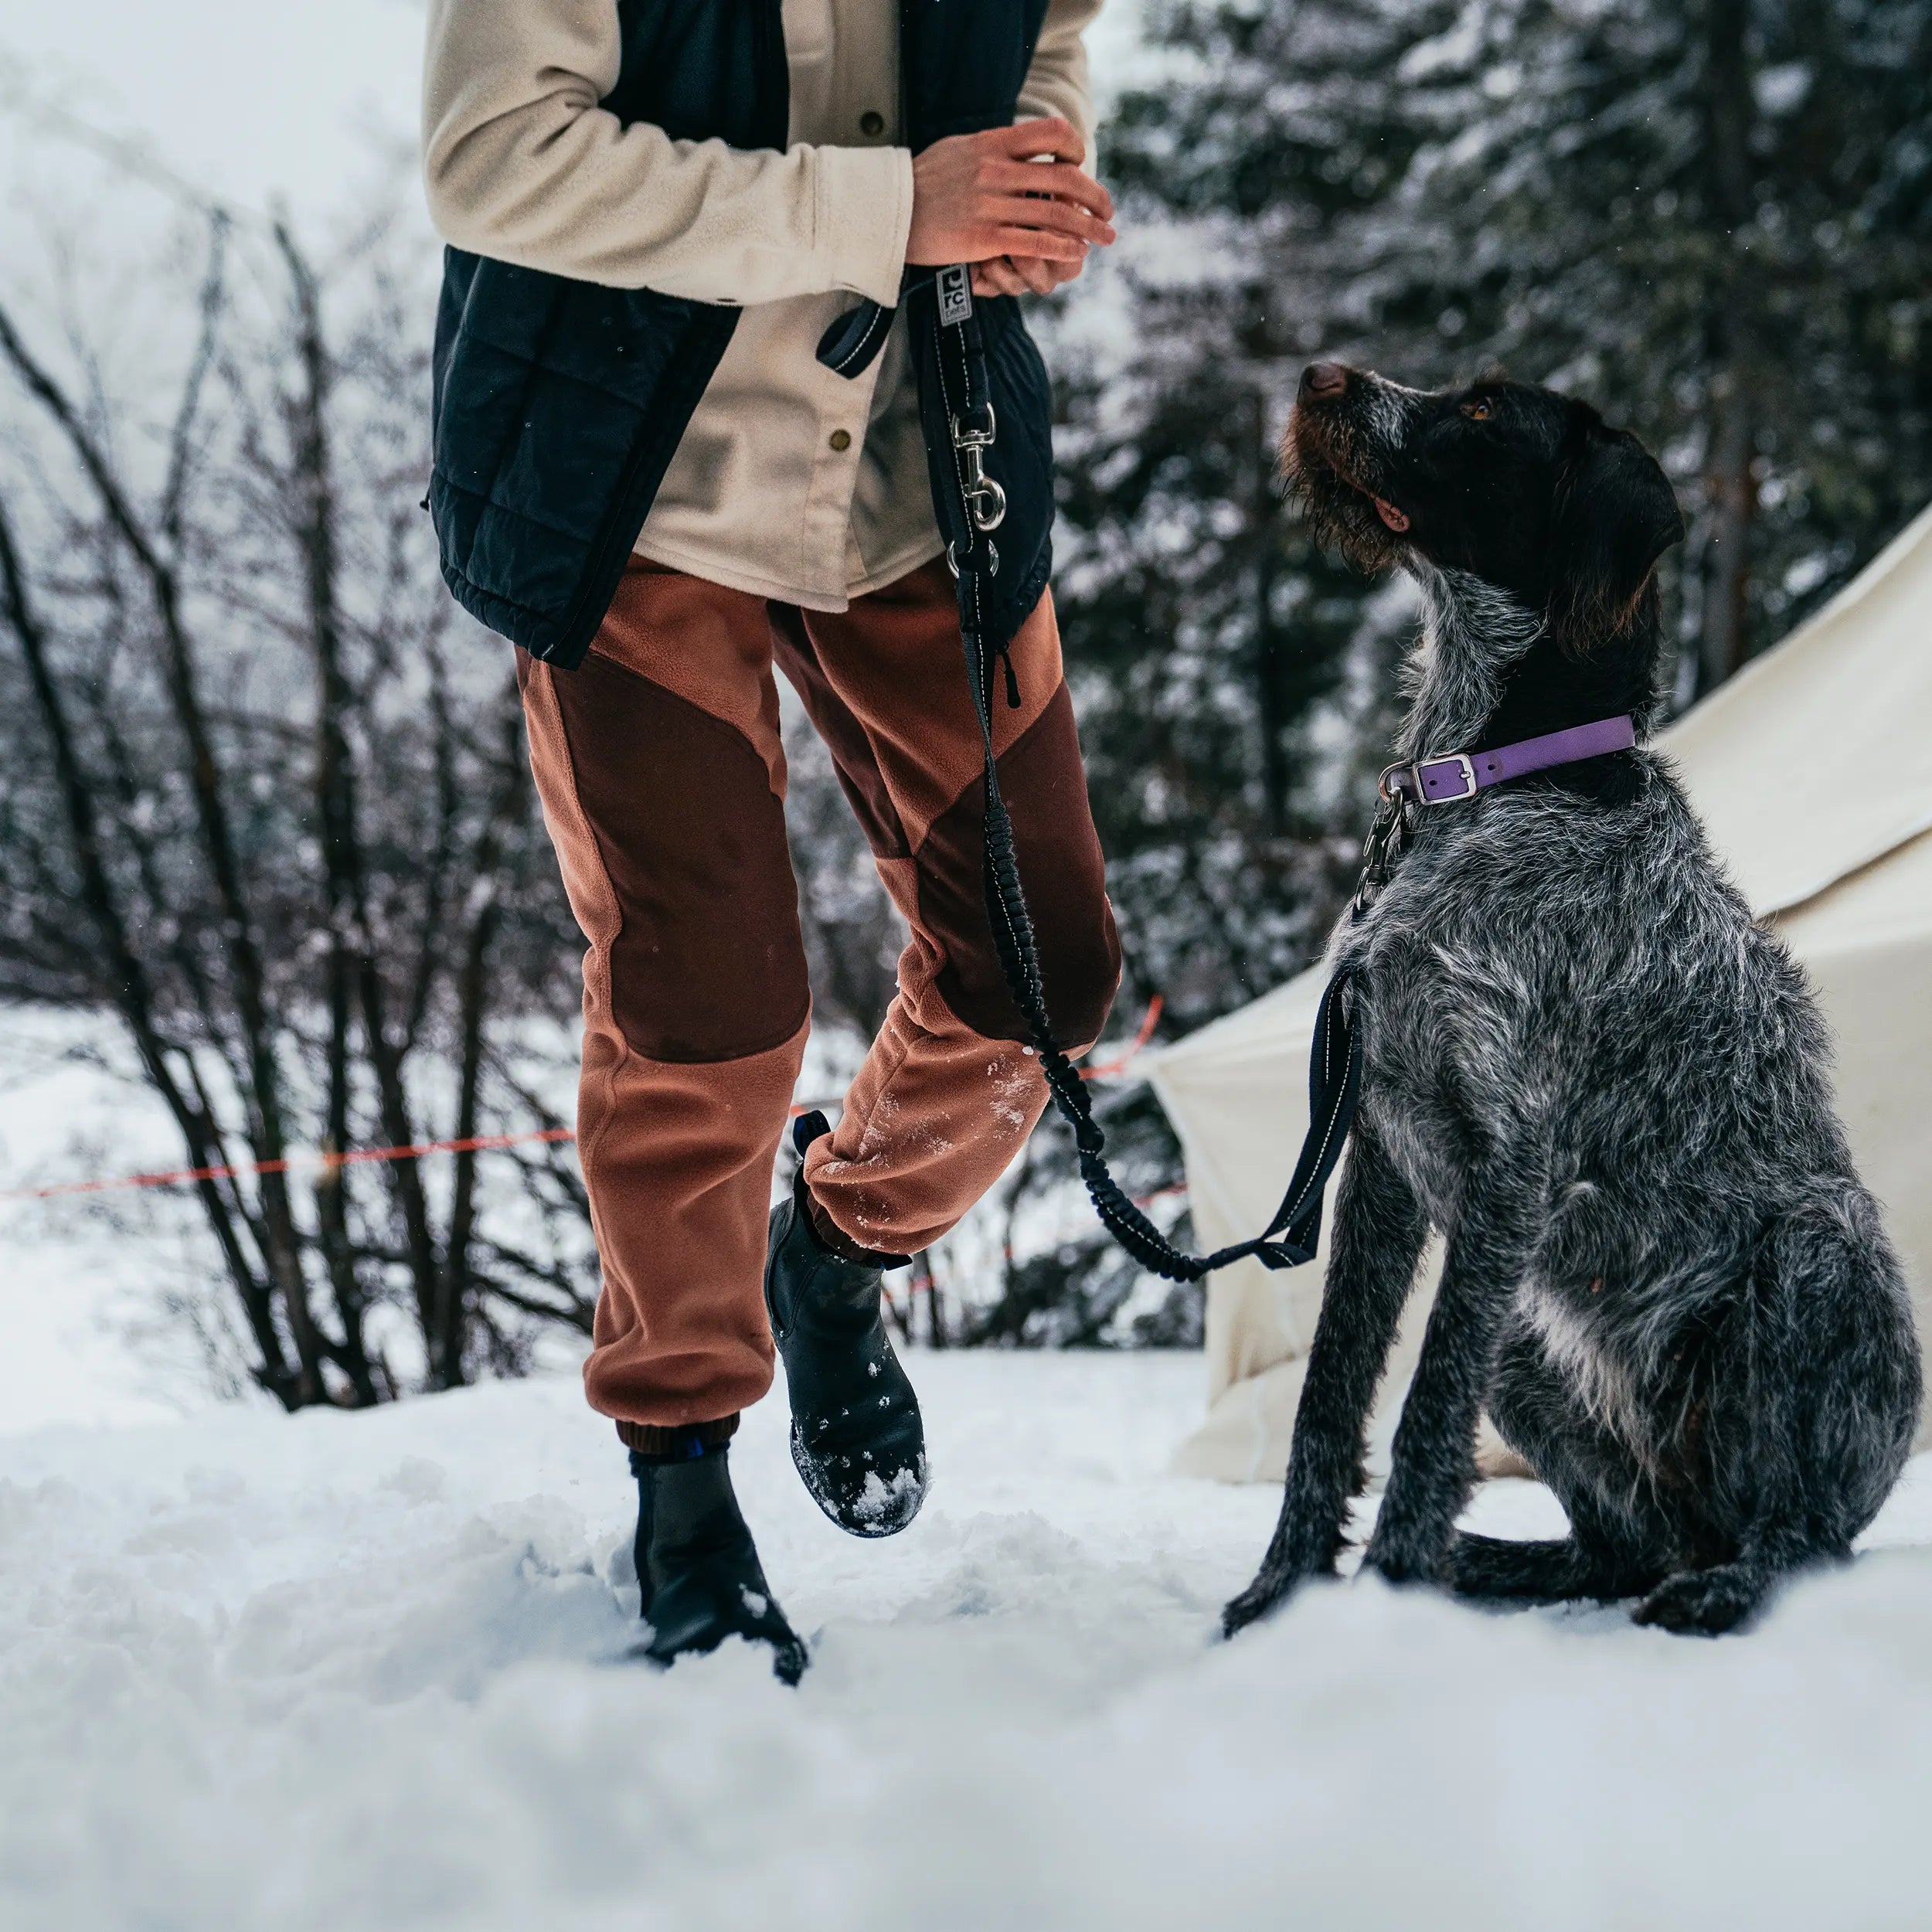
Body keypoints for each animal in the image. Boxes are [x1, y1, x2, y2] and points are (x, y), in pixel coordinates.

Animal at [1221, 359, 1917, 1631]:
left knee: (1799, 1542)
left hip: (1809, 1261)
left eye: (1482, 412)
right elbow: (1332, 1396)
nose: (1317, 376)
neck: (1488, 777)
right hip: (1528, 1340)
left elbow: (1423, 1413)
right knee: (1622, 1544)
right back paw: (1497, 1568)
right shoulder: (1382, 1156)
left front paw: (1383, 1598)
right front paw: (1283, 1597)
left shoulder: (1507, 1166)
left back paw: (1714, 1586)